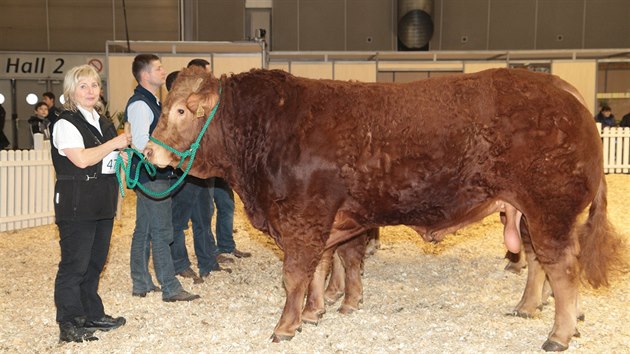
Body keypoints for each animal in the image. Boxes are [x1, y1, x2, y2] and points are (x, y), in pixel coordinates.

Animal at [146, 67, 624, 352]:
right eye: (165, 107)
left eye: (182, 110)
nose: (148, 151)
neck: (266, 131)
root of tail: (568, 98)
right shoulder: (329, 219)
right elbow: (327, 266)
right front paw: (319, 311)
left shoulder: (302, 218)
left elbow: (296, 274)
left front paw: (286, 325)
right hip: (526, 212)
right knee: (540, 263)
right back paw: (529, 308)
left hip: (551, 208)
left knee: (563, 267)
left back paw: (559, 333)